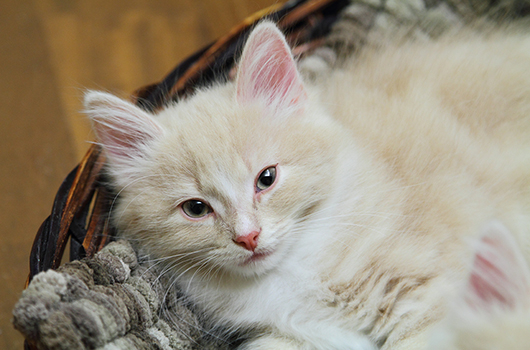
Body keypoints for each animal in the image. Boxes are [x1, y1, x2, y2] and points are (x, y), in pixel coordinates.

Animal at [84, 20, 528, 348]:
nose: (248, 237)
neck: (293, 270)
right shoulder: (289, 334)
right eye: (196, 209)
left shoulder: (431, 293)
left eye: (266, 179)